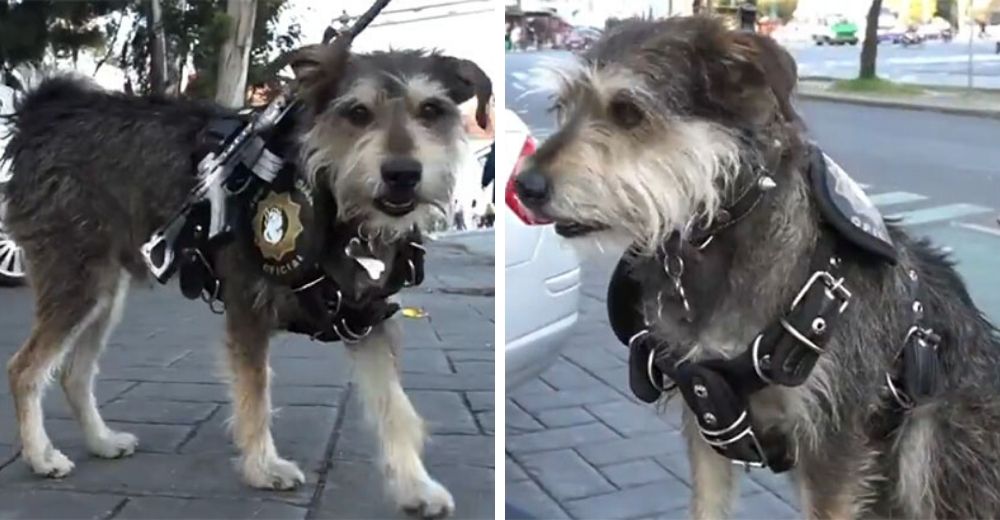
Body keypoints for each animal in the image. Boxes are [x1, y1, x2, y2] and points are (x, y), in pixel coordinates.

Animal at [0, 21, 492, 520]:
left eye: (431, 110)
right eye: (358, 112)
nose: (403, 174)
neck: (330, 193)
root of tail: (45, 113)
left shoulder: (365, 318)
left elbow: (395, 407)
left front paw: (415, 486)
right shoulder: (247, 308)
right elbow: (255, 395)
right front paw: (263, 467)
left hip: (103, 292)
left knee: (73, 373)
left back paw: (101, 441)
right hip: (77, 279)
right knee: (24, 369)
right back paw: (40, 456)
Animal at [516, 16, 1000, 520]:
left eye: (628, 111)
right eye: (562, 106)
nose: (523, 185)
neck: (715, 238)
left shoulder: (835, 445)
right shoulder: (707, 416)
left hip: (929, 445)